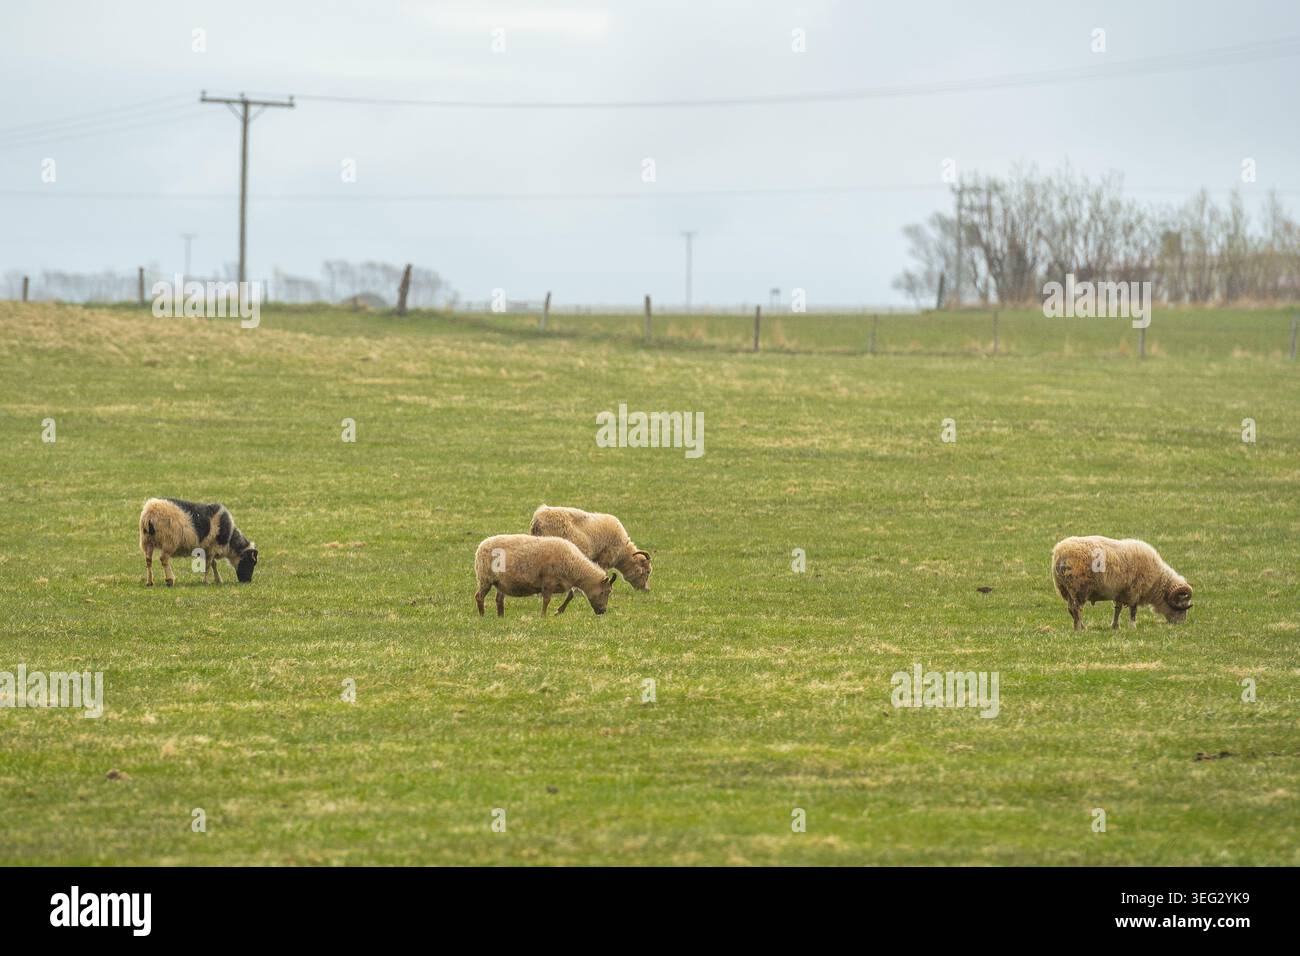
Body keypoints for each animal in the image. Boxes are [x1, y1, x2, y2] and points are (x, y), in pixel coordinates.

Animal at [474, 533, 616, 617]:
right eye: (605, 592)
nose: (603, 611)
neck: (574, 566)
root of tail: (481, 545)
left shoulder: (564, 582)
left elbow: (569, 595)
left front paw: (558, 611)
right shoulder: (549, 581)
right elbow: (546, 600)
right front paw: (543, 616)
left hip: (500, 582)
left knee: (499, 600)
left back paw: (501, 617)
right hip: (485, 578)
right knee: (479, 596)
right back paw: (482, 616)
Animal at [1051, 536, 1192, 630]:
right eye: (1182, 606)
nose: (1181, 624)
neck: (1157, 581)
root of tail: (1059, 553)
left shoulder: (1120, 591)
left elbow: (1117, 610)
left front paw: (1115, 626)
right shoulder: (1135, 590)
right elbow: (1133, 610)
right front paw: (1133, 627)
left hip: (1065, 588)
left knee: (1071, 608)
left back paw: (1079, 627)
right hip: (1079, 587)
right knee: (1077, 608)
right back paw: (1080, 628)